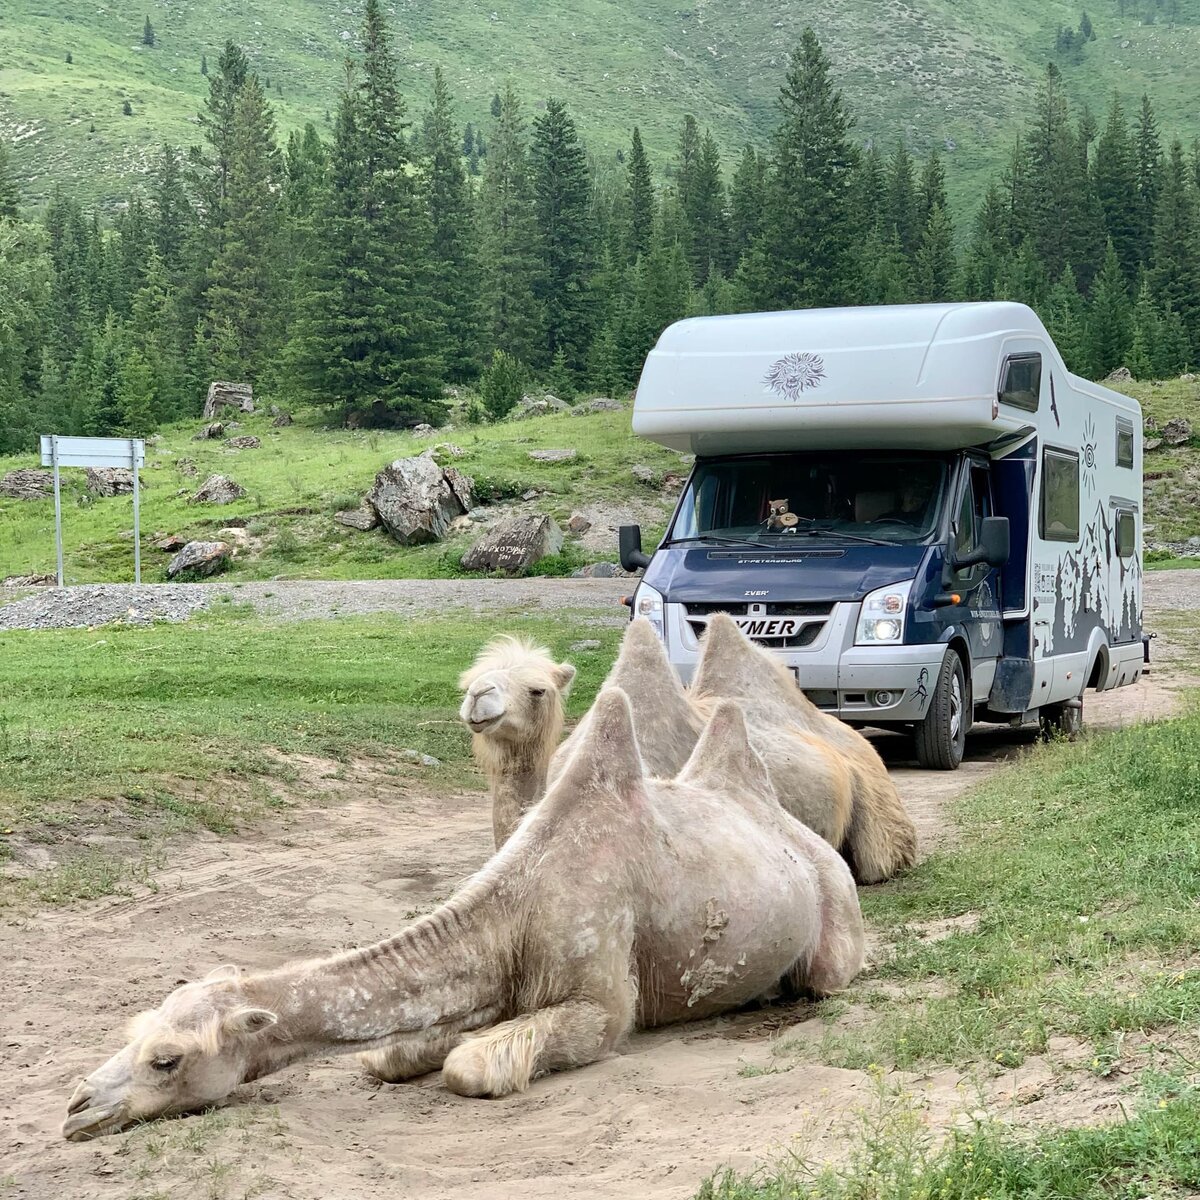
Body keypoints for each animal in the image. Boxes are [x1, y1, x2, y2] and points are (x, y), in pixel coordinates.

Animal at [63, 691, 864, 1137]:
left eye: (168, 1060)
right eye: (133, 1032)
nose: (76, 1107)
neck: (515, 913)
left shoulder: (604, 1004)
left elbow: (472, 1065)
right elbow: (393, 1055)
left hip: (834, 915)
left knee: (828, 973)